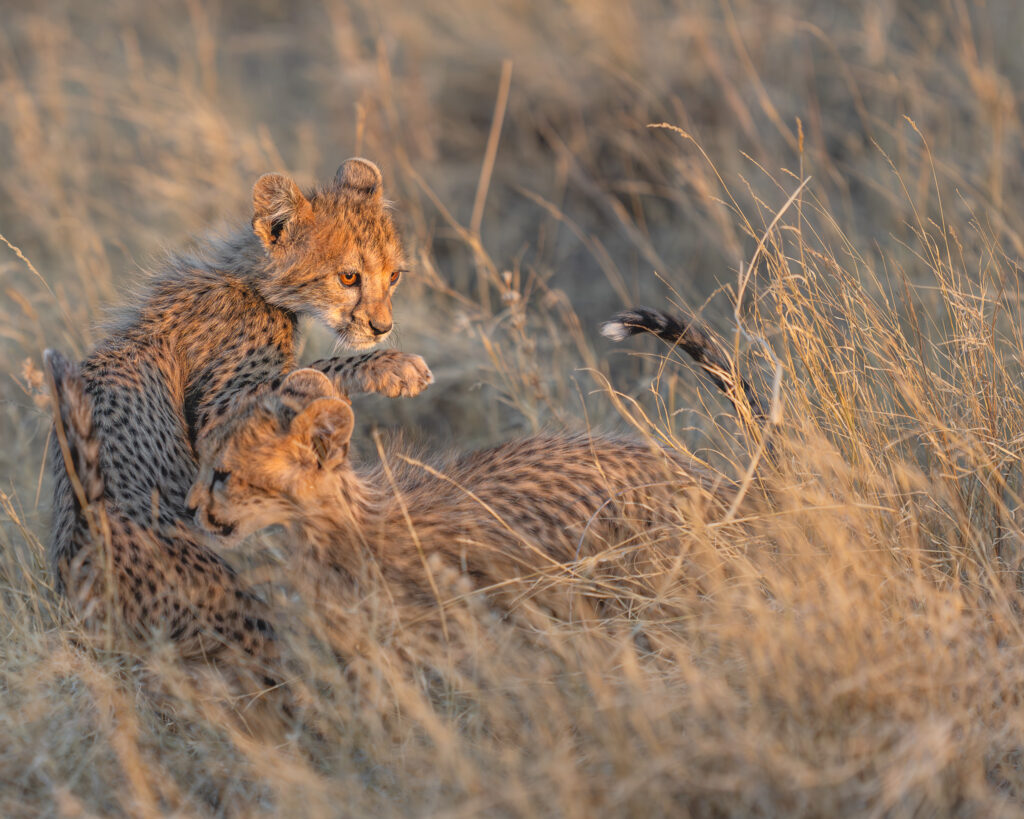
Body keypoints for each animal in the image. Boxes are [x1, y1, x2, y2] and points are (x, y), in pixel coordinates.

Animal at [46, 158, 432, 656]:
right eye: (349, 277)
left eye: (394, 276)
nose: (382, 328)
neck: (251, 282)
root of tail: (86, 524)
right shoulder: (217, 417)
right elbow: (305, 373)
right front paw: (388, 367)